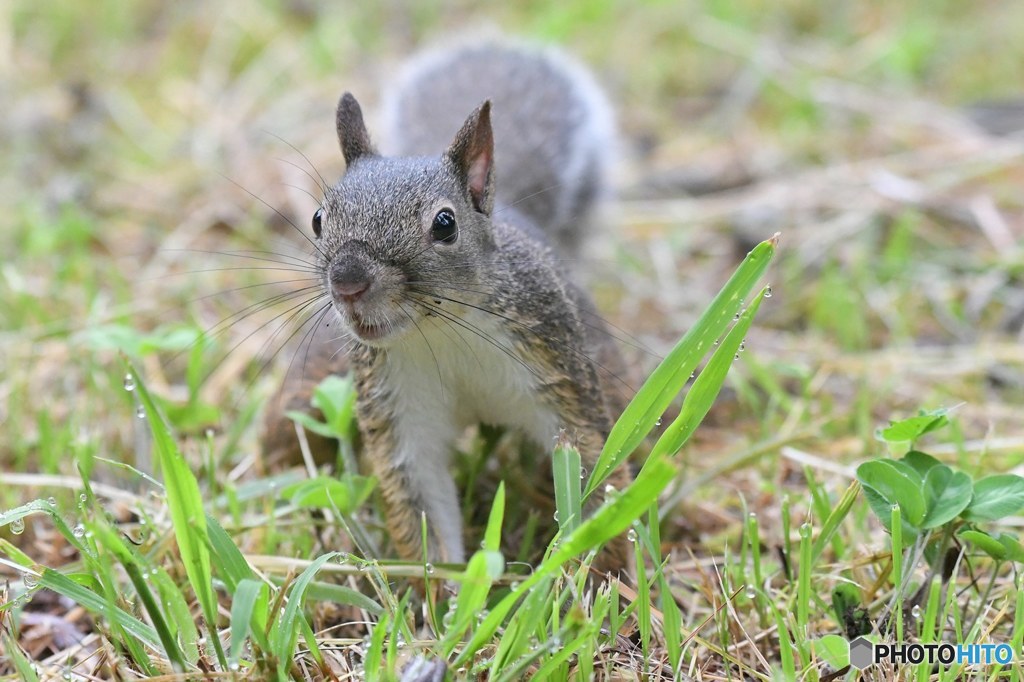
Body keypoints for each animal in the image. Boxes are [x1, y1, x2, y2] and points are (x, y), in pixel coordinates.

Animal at [264, 41, 630, 569]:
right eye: (317, 219)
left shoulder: (557, 369)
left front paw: (601, 570)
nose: (348, 283)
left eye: (444, 224)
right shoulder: (398, 407)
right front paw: (441, 586)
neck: (443, 330)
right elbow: (422, 503)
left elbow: (592, 467)